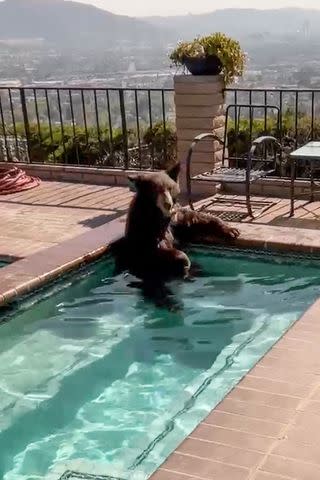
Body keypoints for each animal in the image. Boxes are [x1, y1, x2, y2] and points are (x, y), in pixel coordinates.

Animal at [112, 163, 240, 282]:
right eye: (155, 190)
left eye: (170, 188)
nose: (168, 204)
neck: (160, 214)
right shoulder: (144, 226)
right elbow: (154, 250)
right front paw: (184, 261)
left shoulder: (176, 218)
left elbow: (193, 219)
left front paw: (231, 230)